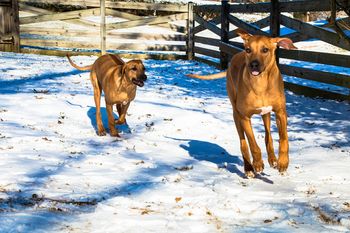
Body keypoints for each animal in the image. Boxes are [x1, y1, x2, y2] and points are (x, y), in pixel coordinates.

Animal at [187, 28, 296, 177]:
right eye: (248, 50)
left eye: (265, 50)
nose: (253, 64)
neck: (261, 83)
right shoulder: (244, 117)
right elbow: (252, 143)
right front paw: (257, 163)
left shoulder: (281, 112)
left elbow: (284, 138)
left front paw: (283, 162)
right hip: (236, 114)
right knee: (243, 142)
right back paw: (248, 168)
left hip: (265, 114)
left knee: (268, 135)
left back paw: (273, 159)